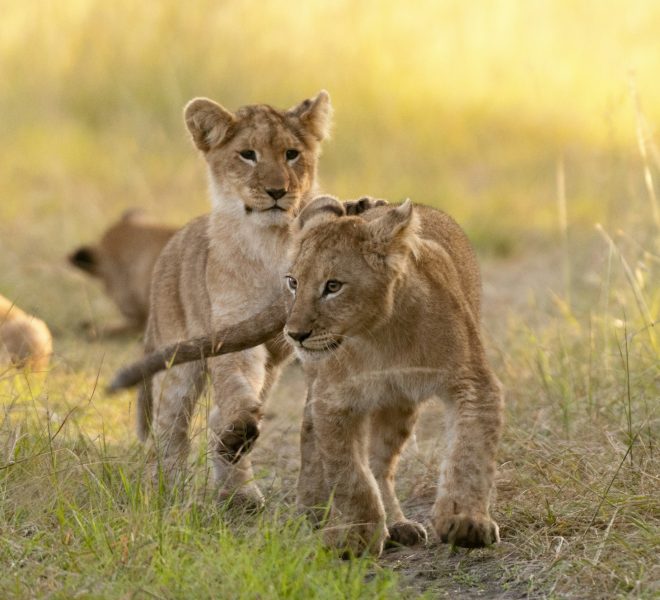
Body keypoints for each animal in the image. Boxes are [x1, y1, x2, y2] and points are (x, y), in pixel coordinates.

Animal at [139, 91, 333, 507]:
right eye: (248, 155)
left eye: (292, 154)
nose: (277, 191)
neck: (272, 241)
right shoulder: (233, 327)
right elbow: (236, 390)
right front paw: (239, 428)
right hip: (177, 361)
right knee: (171, 425)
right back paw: (164, 489)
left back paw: (239, 496)